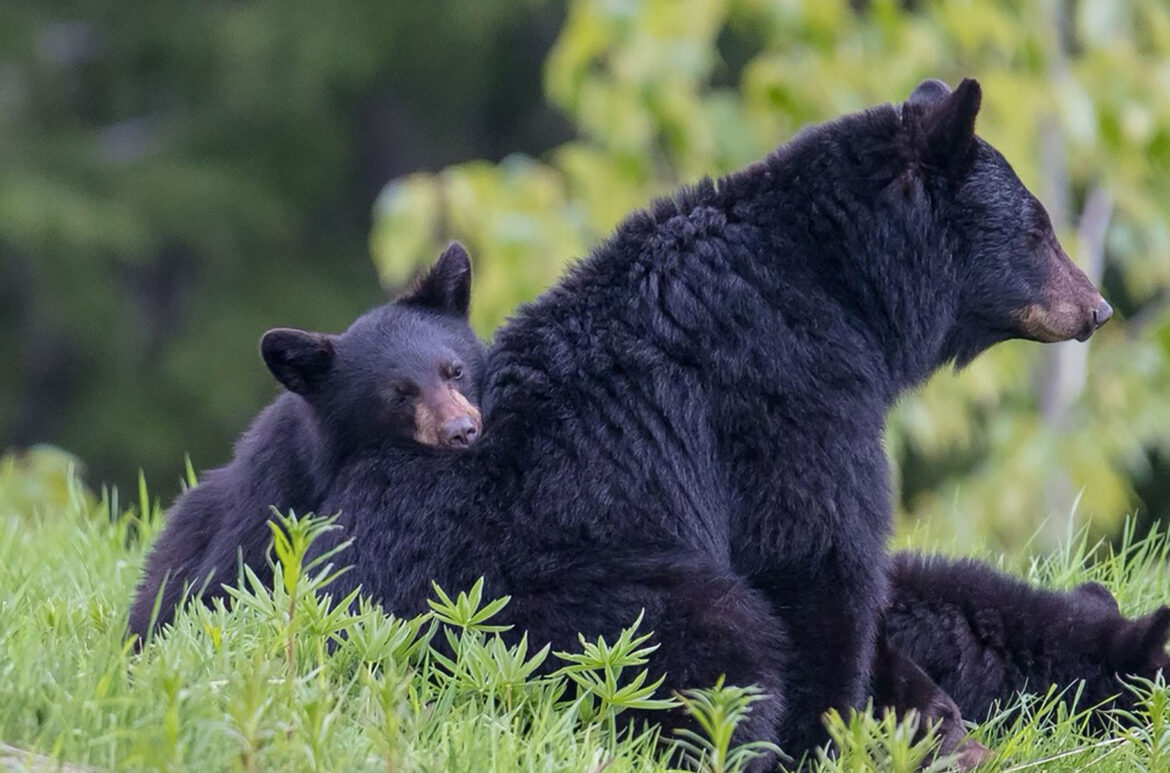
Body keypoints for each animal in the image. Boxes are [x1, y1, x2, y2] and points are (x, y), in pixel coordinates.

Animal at [294, 78, 1113, 757]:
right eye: (1040, 229)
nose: (1098, 307)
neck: (835, 283)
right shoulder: (787, 390)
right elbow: (814, 552)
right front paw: (831, 732)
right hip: (576, 604)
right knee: (720, 638)